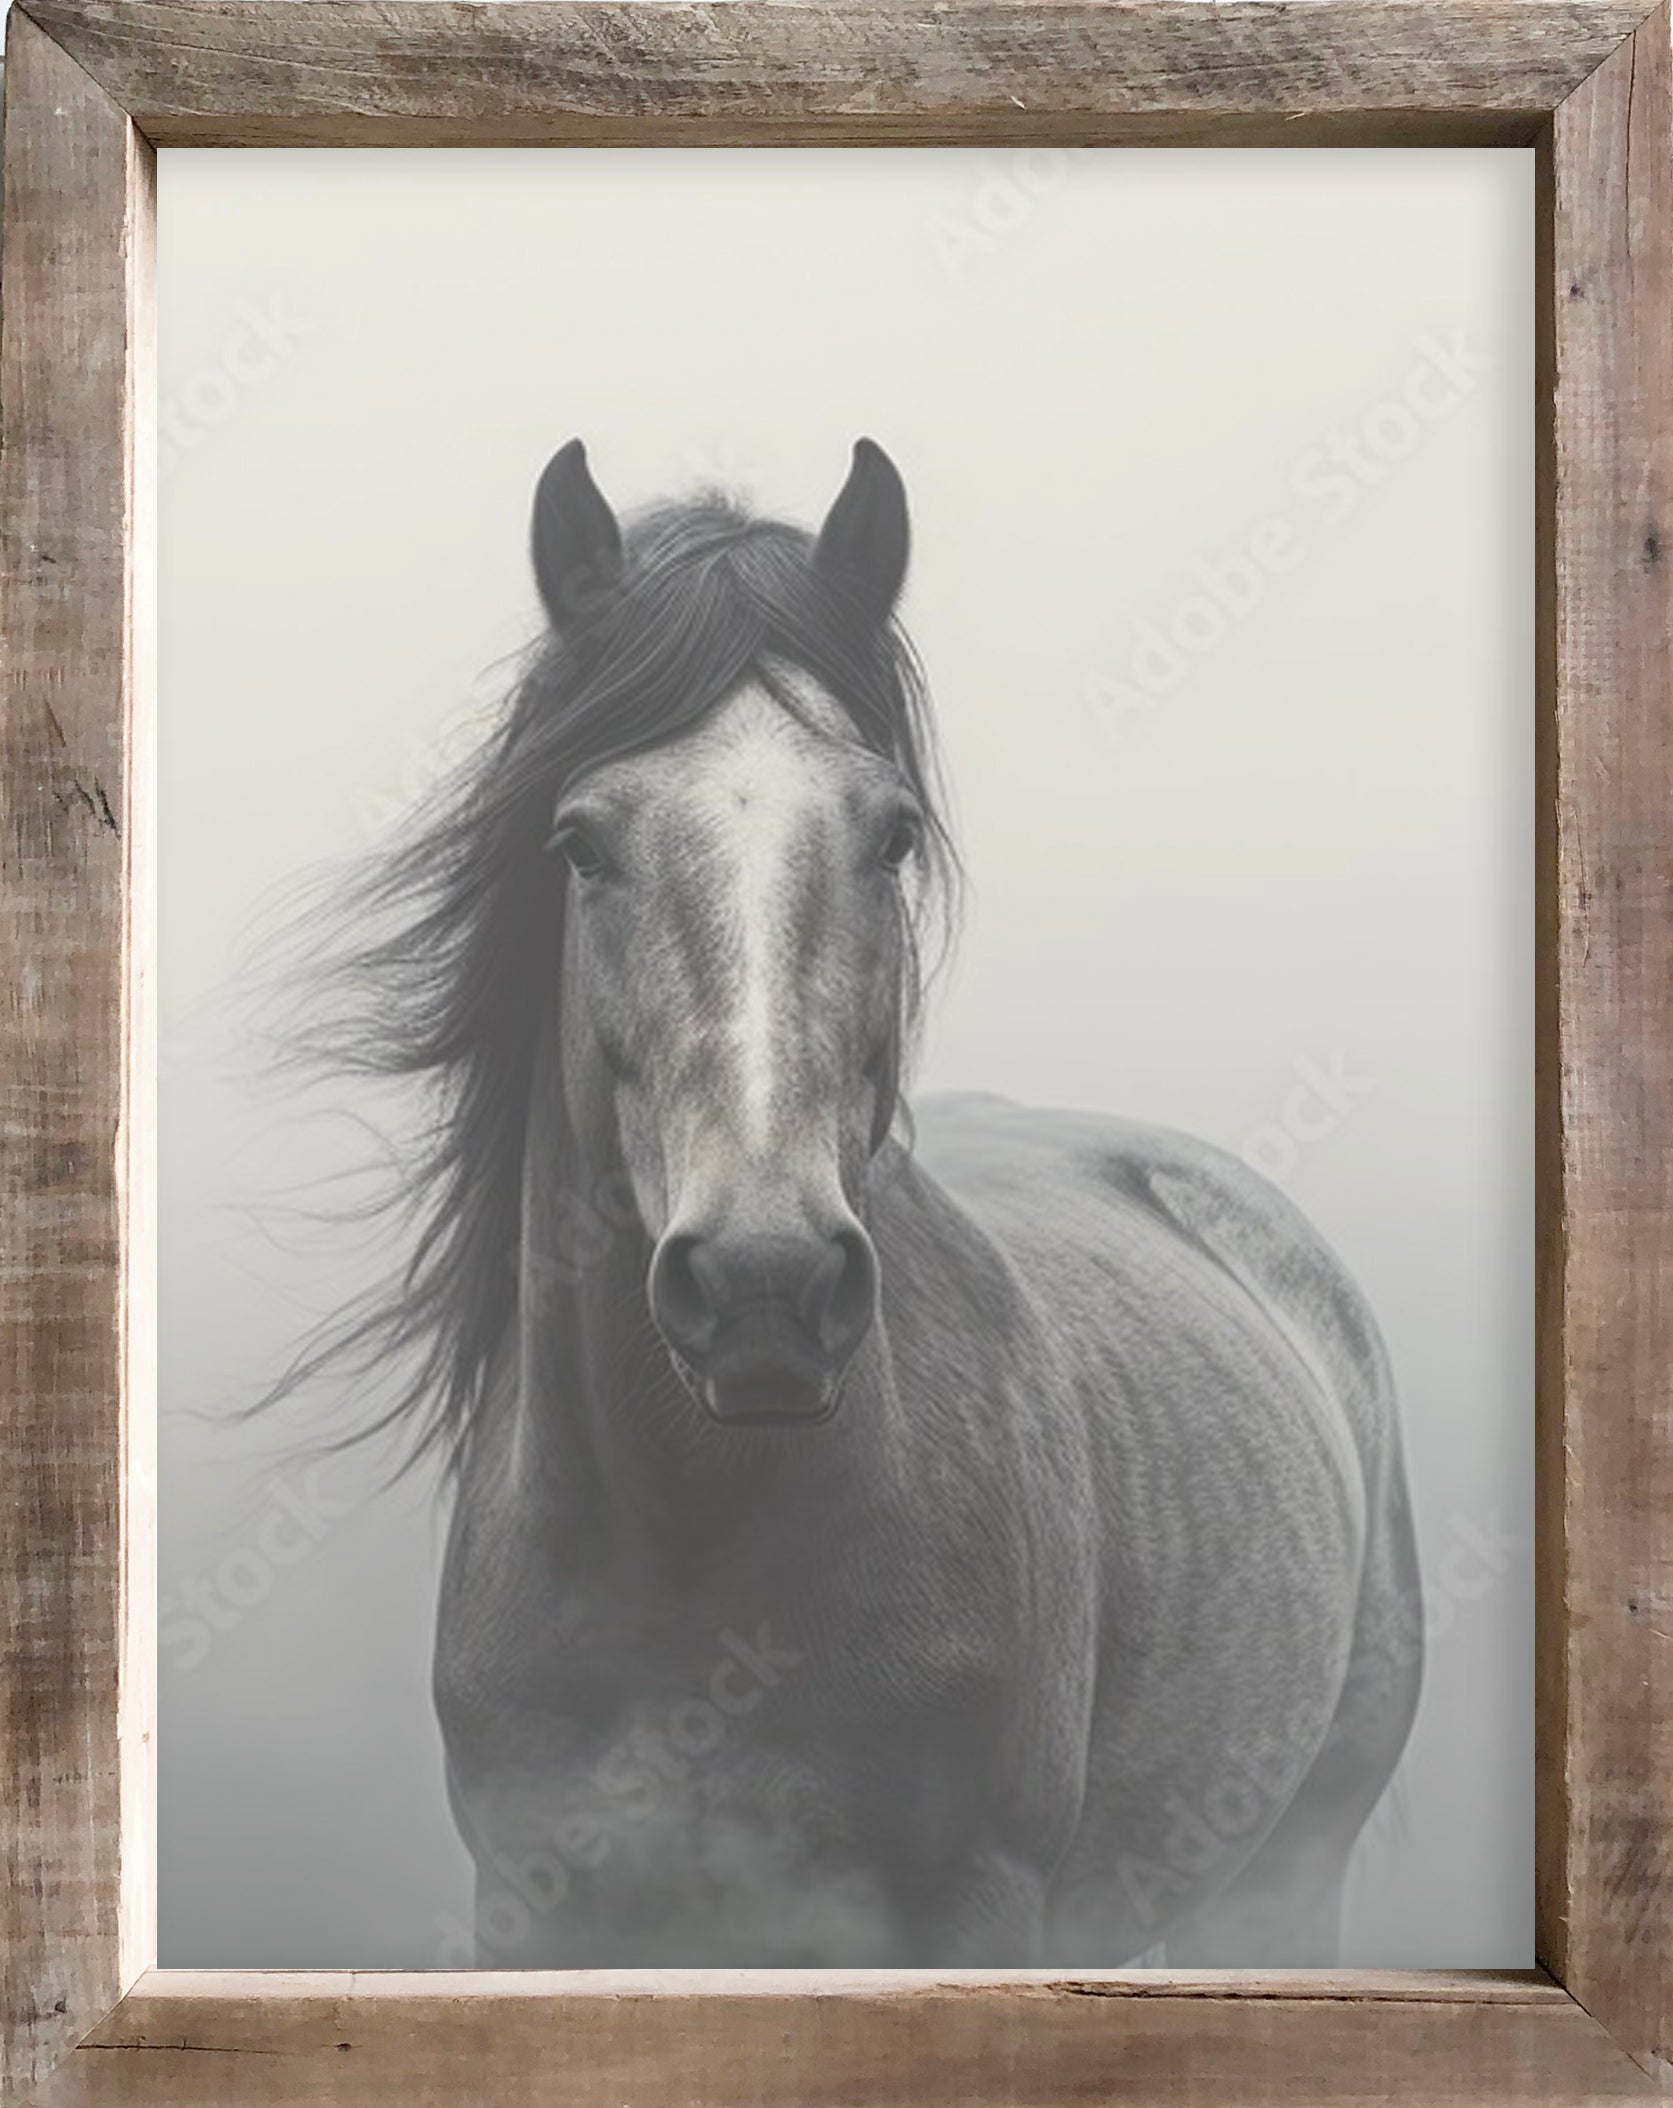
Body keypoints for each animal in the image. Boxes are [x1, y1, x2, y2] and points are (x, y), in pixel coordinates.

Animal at [307, 436, 1423, 1967]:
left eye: (891, 836)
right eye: (581, 844)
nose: (762, 1283)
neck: (690, 1556)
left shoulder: (972, 1914)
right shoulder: (535, 1918)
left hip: (1284, 1887)